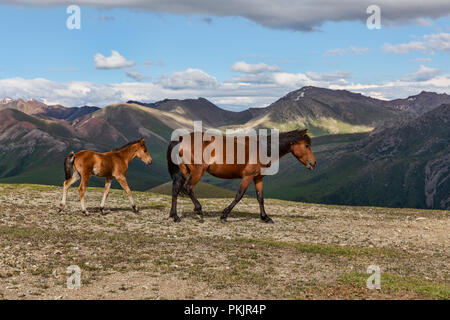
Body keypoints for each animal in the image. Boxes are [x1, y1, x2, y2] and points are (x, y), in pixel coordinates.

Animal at [166, 129, 316, 224]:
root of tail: (182, 139)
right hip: (197, 171)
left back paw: (175, 216)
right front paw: (224, 215)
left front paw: (265, 217)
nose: (313, 163)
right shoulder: (247, 177)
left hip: (184, 171)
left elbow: (260, 197)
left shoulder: (258, 178)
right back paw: (198, 210)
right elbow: (239, 195)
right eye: (306, 145)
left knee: (176, 189)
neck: (263, 149)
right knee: (188, 187)